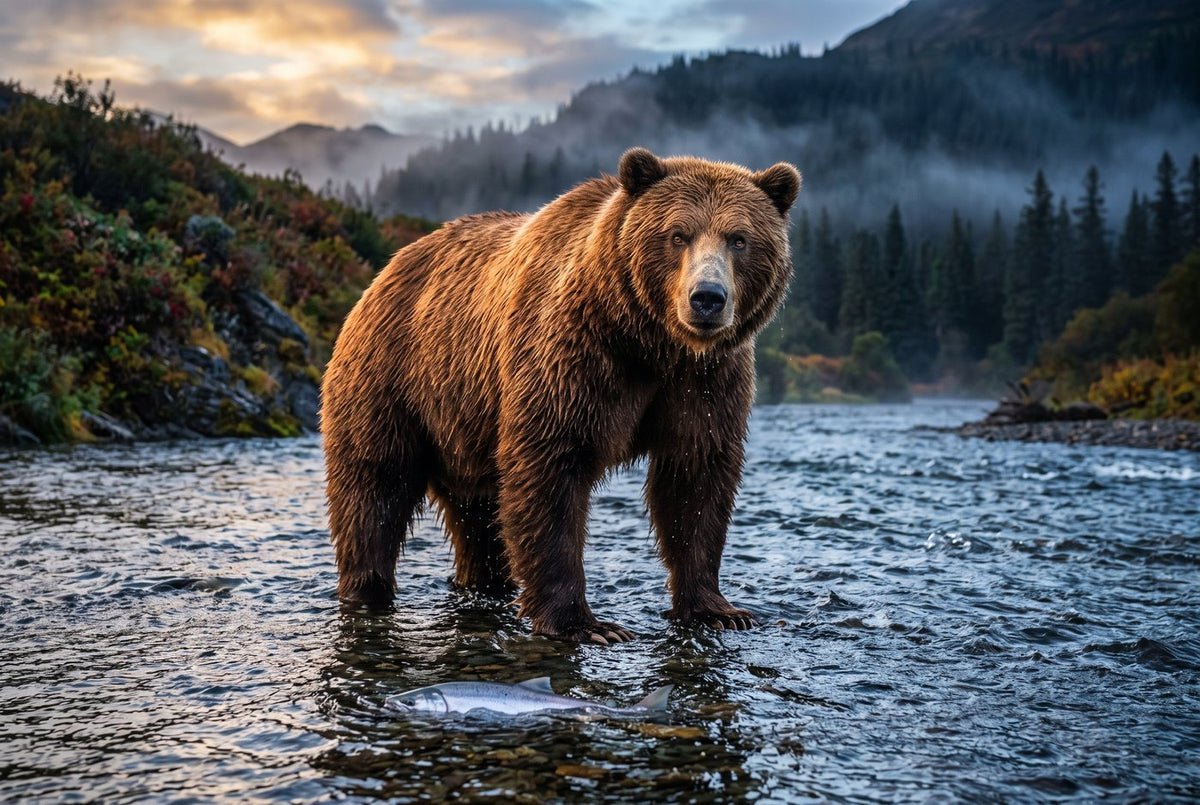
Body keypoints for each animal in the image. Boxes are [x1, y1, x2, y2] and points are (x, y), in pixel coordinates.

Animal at [321, 147, 800, 644]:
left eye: (739, 239)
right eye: (677, 234)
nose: (707, 297)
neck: (650, 342)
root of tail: (387, 269)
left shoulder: (705, 382)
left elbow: (696, 477)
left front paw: (718, 609)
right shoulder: (573, 357)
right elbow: (552, 469)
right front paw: (584, 623)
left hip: (465, 426)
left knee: (478, 516)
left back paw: (483, 583)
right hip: (395, 381)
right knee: (374, 489)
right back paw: (367, 589)